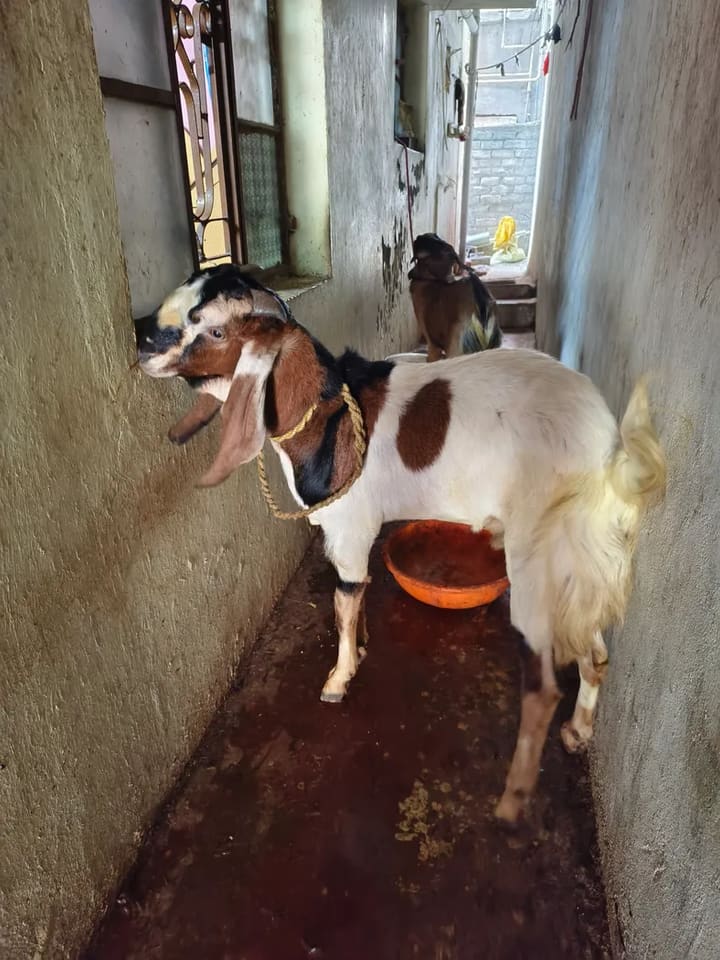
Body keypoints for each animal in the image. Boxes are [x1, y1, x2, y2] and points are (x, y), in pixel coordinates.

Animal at [135, 264, 665, 822]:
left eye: (215, 329)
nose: (142, 338)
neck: (326, 412)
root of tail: (609, 447)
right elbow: (357, 593)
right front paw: (363, 646)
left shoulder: (349, 527)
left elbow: (342, 600)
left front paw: (338, 679)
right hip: (579, 551)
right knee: (596, 647)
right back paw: (578, 731)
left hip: (546, 549)